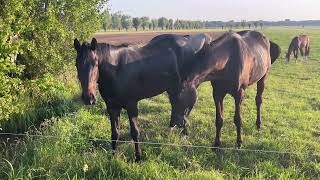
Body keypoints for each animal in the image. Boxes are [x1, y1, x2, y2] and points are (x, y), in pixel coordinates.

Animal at [74, 33, 211, 161]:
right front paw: (112, 156)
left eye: (95, 63)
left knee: (187, 107)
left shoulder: (132, 105)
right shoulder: (112, 107)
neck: (117, 70)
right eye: (76, 64)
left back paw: (184, 133)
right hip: (173, 89)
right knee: (178, 107)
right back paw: (173, 128)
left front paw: (138, 157)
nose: (88, 98)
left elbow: (135, 132)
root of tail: (188, 40)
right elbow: (114, 133)